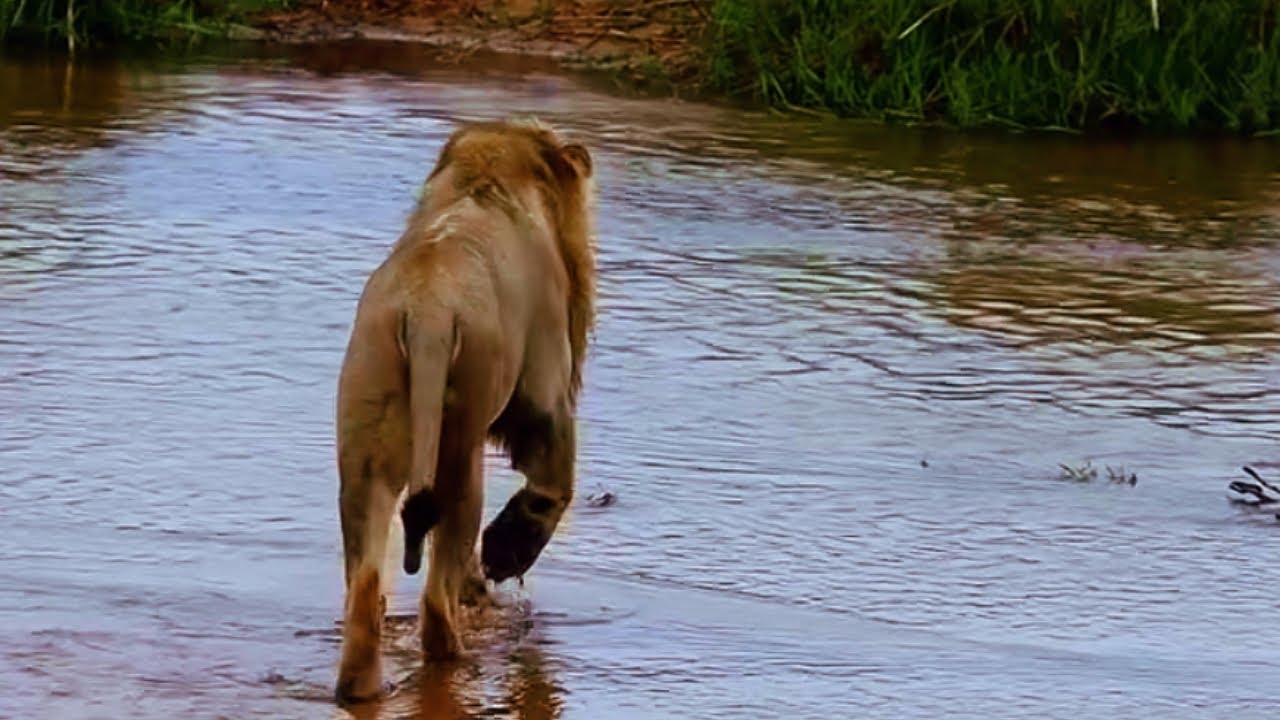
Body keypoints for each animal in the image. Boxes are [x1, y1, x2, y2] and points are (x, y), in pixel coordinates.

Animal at [333, 119, 596, 704]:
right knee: (435, 602)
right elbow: (554, 483)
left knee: (364, 593)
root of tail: (425, 313)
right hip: (461, 443)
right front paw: (504, 553)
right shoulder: (545, 388)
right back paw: (464, 657)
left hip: (367, 431)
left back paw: (364, 688)